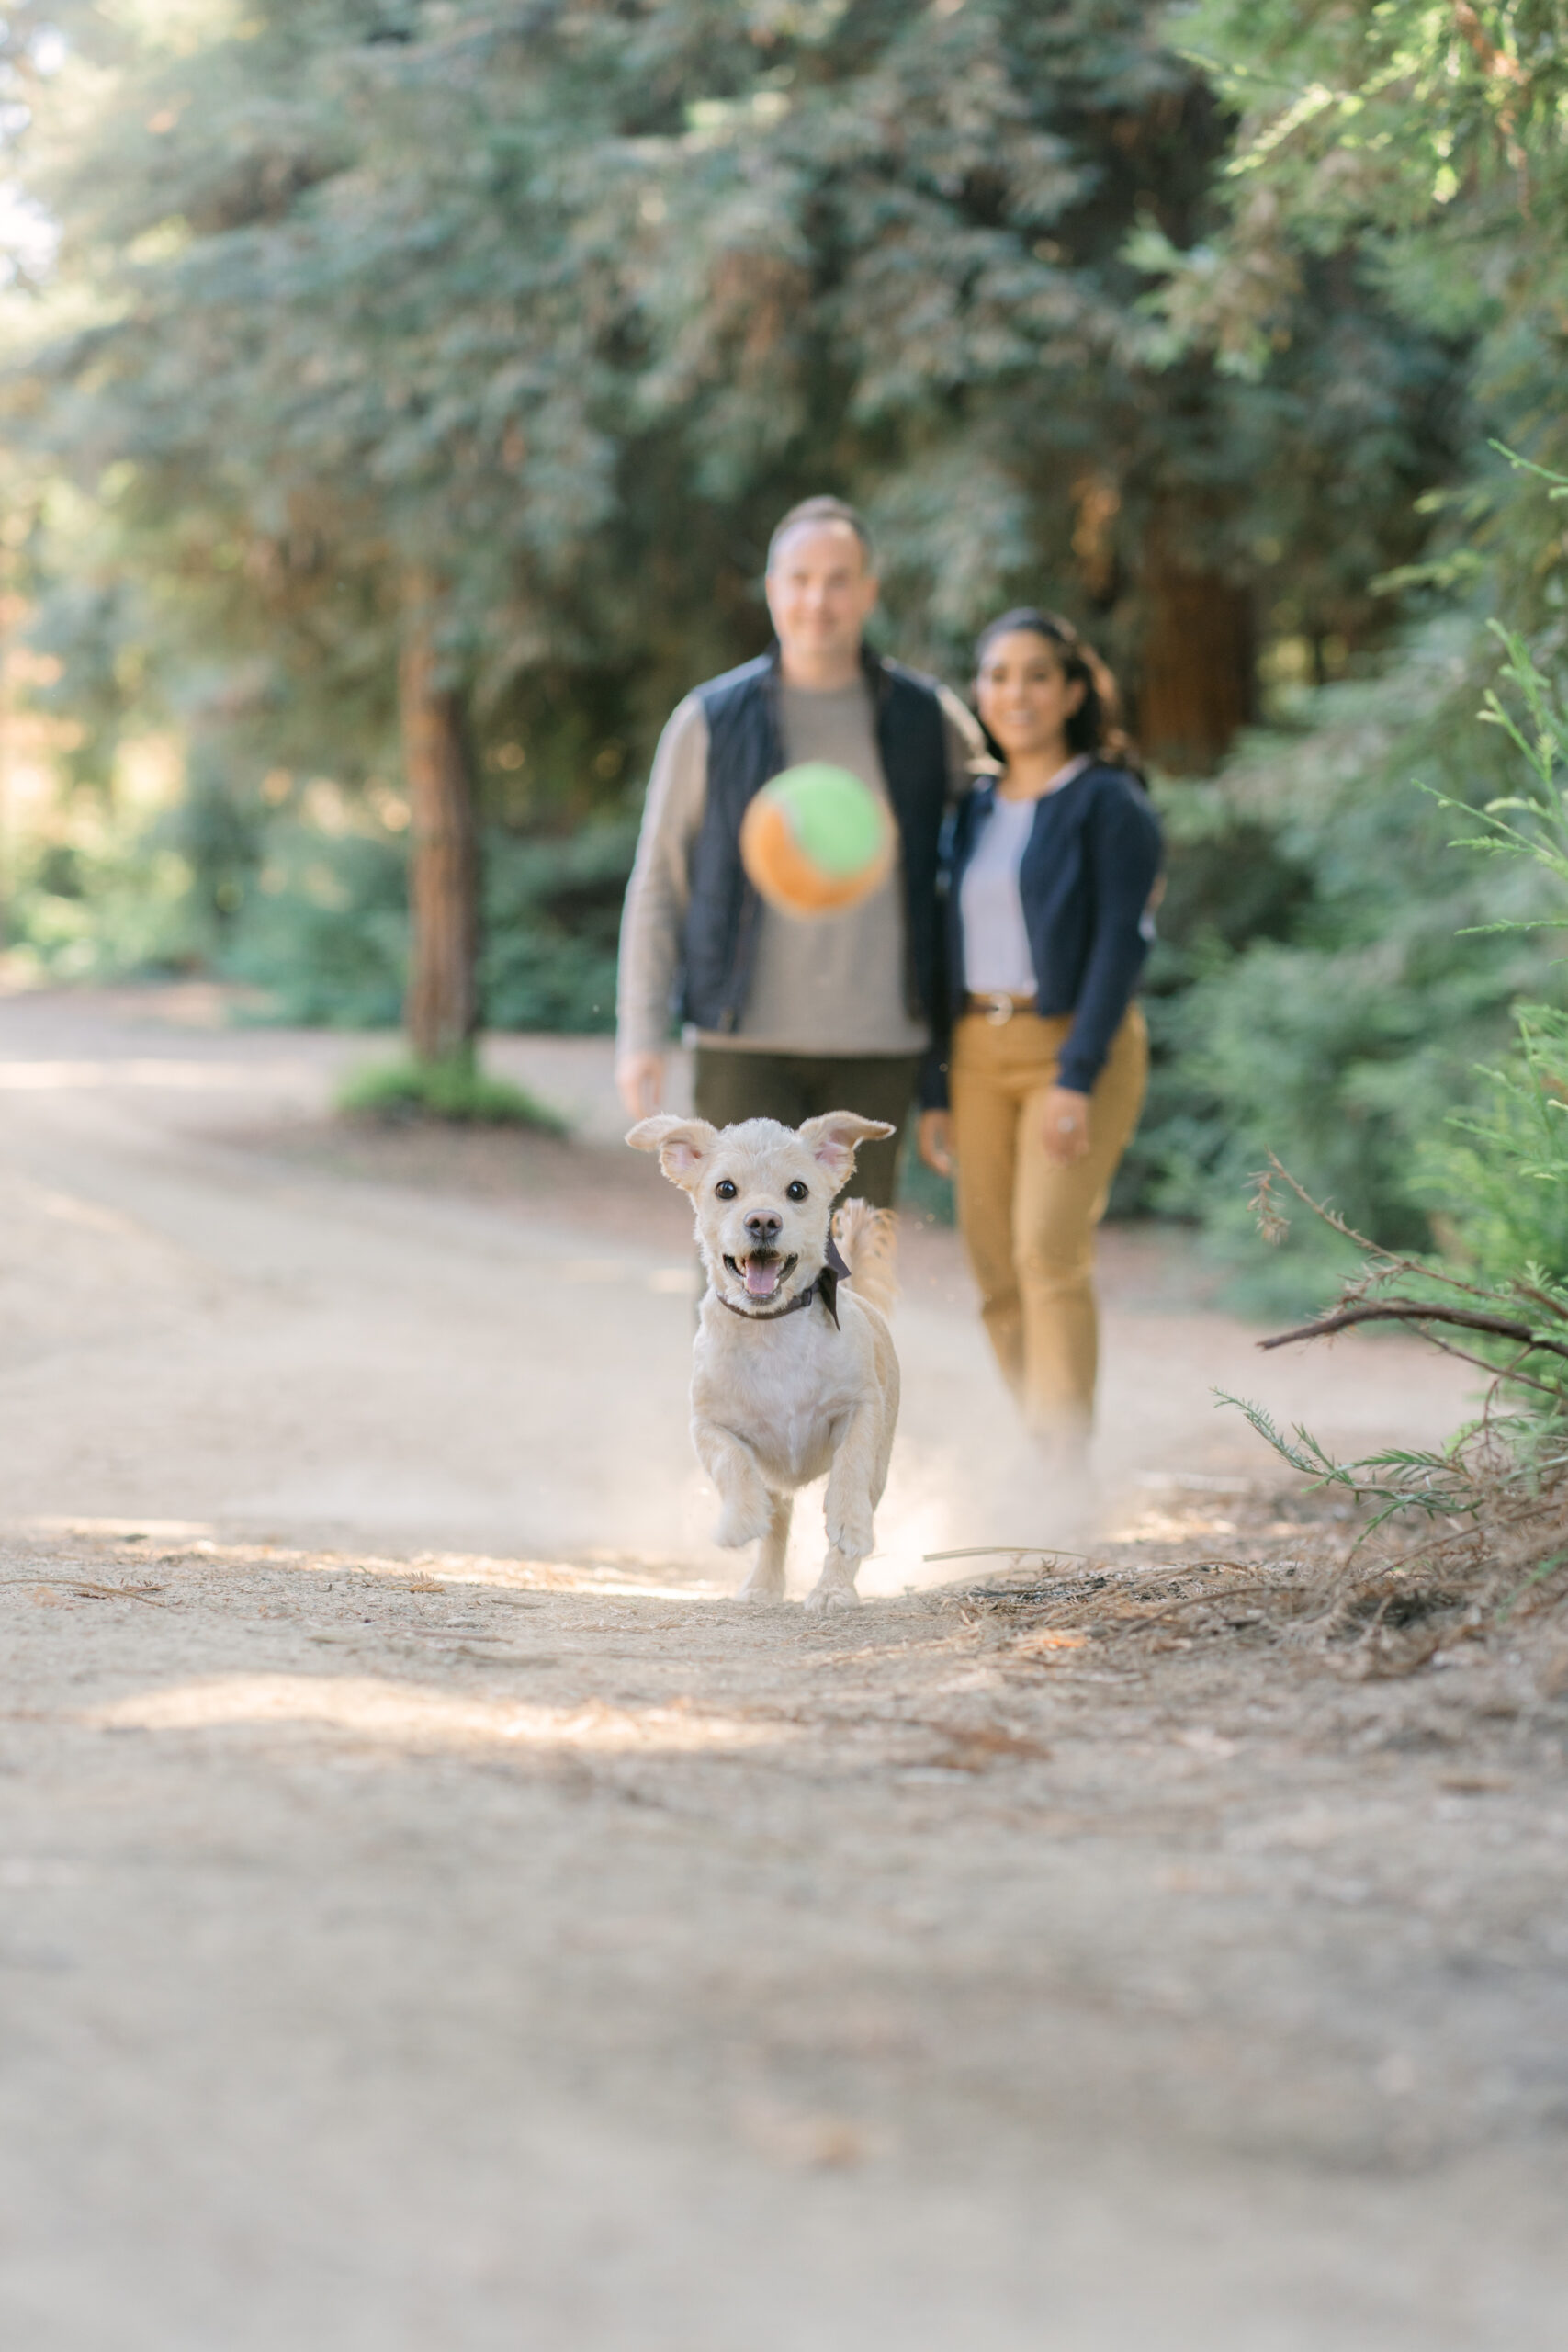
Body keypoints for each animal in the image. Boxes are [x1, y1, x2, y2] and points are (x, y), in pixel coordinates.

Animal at [620, 1110, 893, 1609]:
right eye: (725, 1189)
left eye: (797, 1190)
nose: (763, 1220)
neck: (771, 1330)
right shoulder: (709, 1425)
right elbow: (732, 1463)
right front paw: (739, 1521)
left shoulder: (862, 1407)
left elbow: (852, 1466)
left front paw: (850, 1524)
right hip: (775, 1481)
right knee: (777, 1525)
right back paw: (762, 1584)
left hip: (879, 1468)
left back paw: (833, 1589)